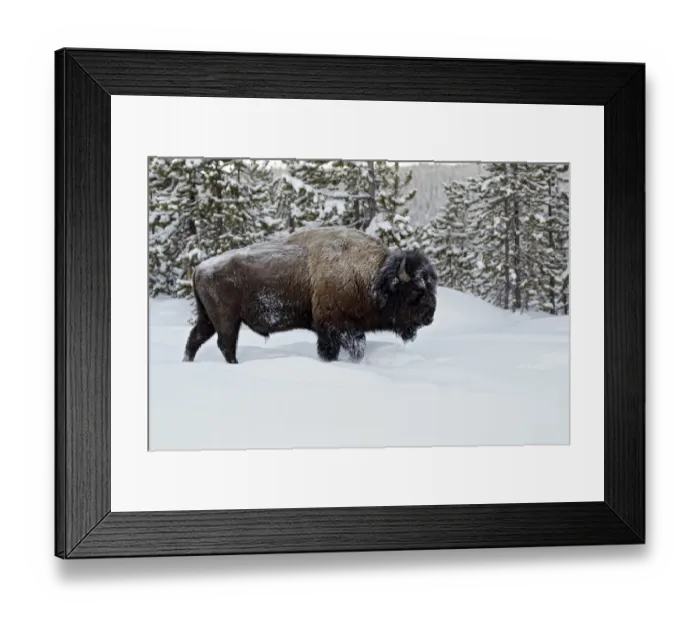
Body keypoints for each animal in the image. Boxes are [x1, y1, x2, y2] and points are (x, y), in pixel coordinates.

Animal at [183, 226, 438, 364]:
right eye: (417, 290)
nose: (430, 316)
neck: (371, 275)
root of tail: (199, 268)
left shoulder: (328, 331)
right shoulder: (340, 327)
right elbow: (354, 348)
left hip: (209, 319)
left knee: (196, 338)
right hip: (227, 320)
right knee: (225, 344)